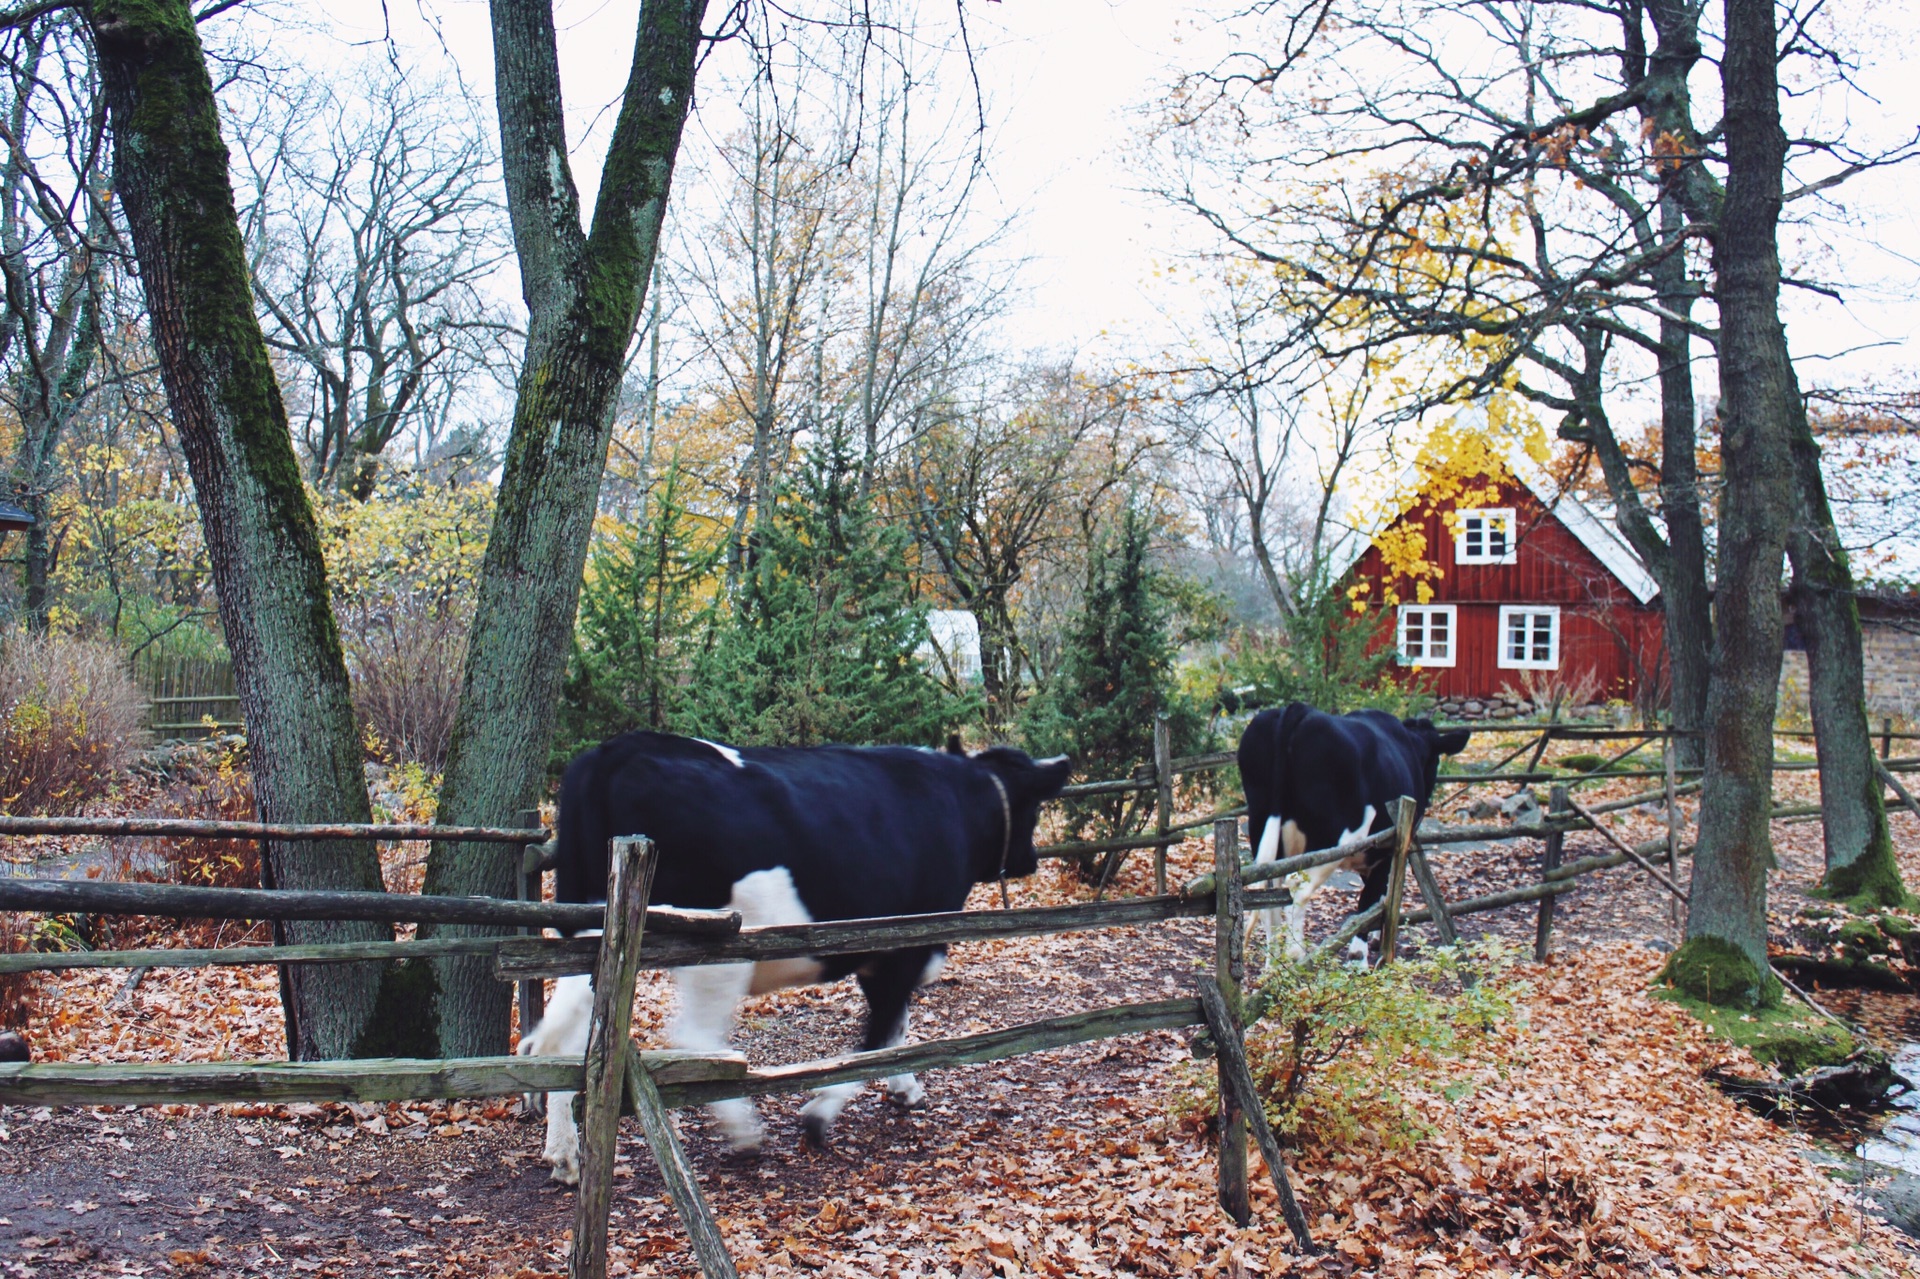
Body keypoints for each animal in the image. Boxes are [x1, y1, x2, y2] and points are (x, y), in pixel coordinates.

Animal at [518, 725, 1075, 1175]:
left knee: (553, 1042)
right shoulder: (907, 946)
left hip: (587, 933)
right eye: (1033, 809)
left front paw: (904, 1087)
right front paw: (819, 1114)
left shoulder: (883, 952)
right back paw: (744, 1134)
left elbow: (894, 1029)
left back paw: (564, 1154)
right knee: (693, 1036)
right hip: (716, 950)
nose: (1030, 859)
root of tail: (613, 752)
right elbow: (878, 1035)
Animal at [1236, 702, 1474, 960]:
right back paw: (1295, 955)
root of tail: (1298, 709)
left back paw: (1274, 962)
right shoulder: (1386, 849)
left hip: (1263, 827)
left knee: (1269, 893)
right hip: (1331, 840)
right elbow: (1371, 897)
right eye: (1436, 762)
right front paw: (1359, 956)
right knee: (1297, 888)